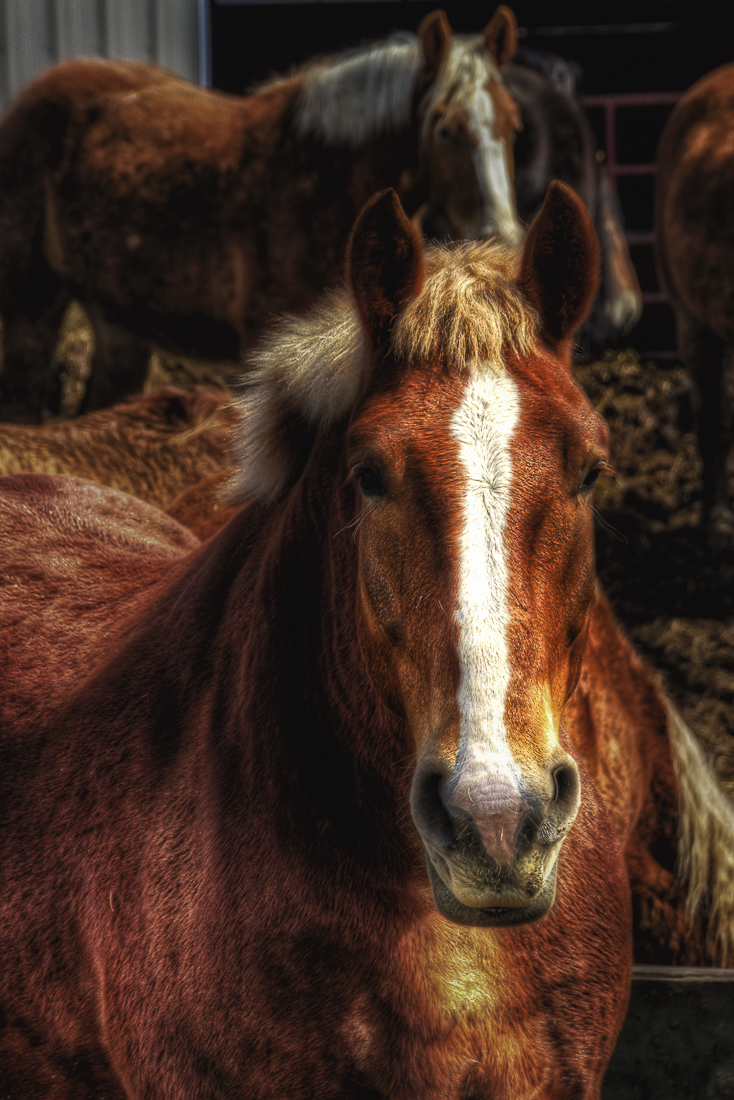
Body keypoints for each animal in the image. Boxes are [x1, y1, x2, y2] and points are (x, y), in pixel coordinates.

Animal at [0, 4, 521, 422]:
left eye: (513, 124)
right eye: (445, 129)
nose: (500, 236)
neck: (325, 183)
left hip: (118, 320)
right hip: (31, 306)